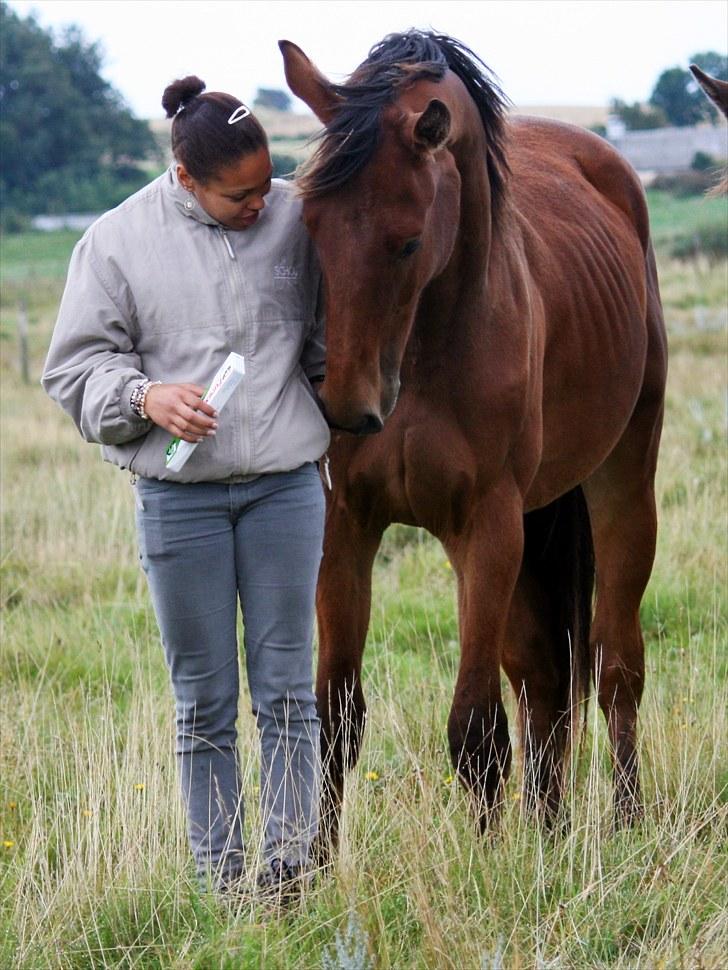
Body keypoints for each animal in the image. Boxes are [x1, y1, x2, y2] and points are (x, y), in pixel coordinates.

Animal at [282, 30, 668, 860]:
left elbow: (476, 729)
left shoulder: (485, 530)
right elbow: (335, 717)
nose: (345, 406)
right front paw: (315, 867)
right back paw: (548, 828)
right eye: (310, 225)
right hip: (534, 522)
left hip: (621, 481)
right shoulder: (345, 529)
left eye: (406, 243)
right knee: (543, 677)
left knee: (614, 665)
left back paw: (623, 826)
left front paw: (487, 868)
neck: (424, 356)